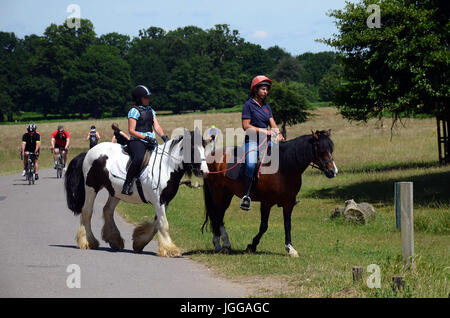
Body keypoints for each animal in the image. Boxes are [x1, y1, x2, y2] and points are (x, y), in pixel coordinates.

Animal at [64, 129, 208, 256]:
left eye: (204, 148)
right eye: (193, 149)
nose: (204, 172)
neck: (167, 166)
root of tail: (89, 152)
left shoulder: (165, 201)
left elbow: (157, 224)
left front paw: (139, 242)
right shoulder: (159, 201)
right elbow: (163, 224)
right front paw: (170, 249)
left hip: (115, 191)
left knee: (107, 210)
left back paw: (114, 240)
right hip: (91, 188)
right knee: (87, 211)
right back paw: (88, 242)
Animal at [201, 130, 338, 258]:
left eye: (331, 149)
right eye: (321, 150)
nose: (333, 171)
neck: (284, 167)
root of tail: (211, 156)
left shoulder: (288, 203)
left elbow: (287, 224)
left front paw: (290, 248)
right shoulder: (266, 203)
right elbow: (264, 226)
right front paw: (252, 246)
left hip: (227, 194)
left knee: (220, 215)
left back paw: (225, 244)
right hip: (217, 192)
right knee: (216, 215)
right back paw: (219, 244)